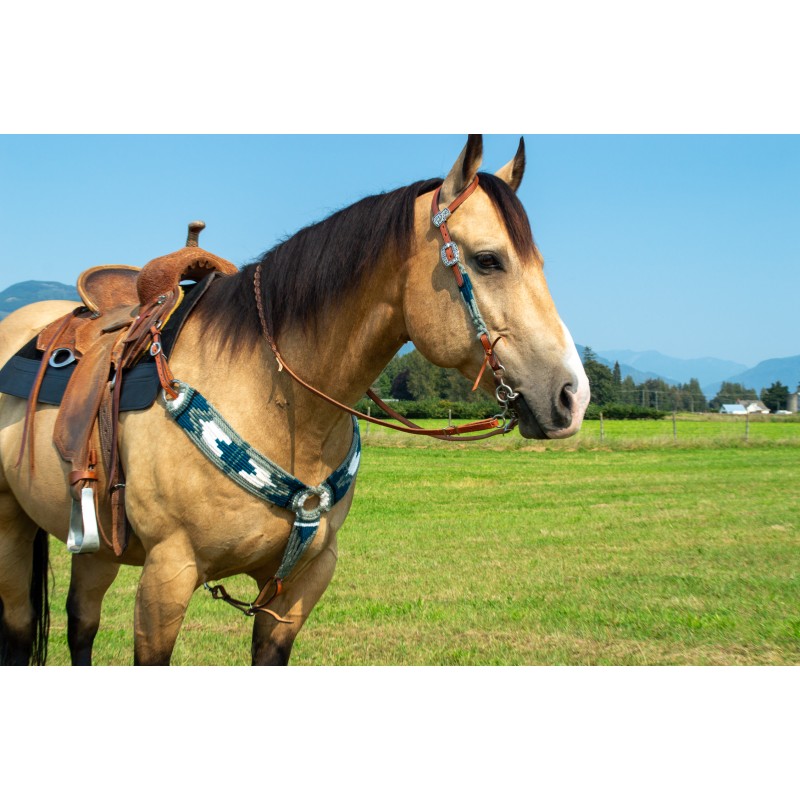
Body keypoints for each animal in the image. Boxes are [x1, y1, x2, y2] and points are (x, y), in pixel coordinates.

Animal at [0, 134, 588, 664]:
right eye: (488, 260)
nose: (572, 396)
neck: (276, 400)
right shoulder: (167, 576)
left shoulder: (300, 586)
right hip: (12, 526)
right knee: (20, 630)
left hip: (96, 545)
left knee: (81, 624)